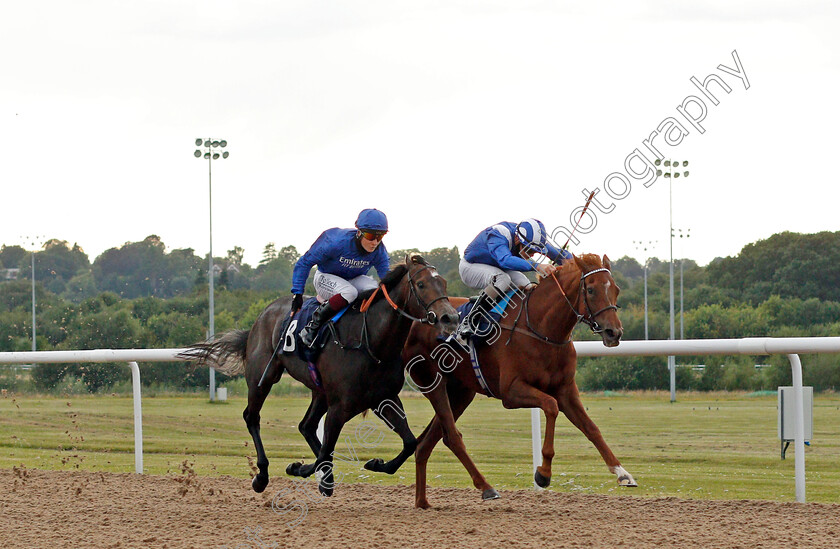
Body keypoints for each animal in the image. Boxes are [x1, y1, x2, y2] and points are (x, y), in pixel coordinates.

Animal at [179, 256, 460, 496]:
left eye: (444, 283)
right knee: (252, 417)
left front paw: (373, 464)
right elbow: (327, 450)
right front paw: (310, 473)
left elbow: (409, 442)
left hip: (319, 391)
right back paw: (262, 476)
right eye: (421, 284)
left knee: (306, 426)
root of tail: (261, 317)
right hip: (263, 377)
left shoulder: (383, 398)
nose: (450, 317)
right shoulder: (340, 406)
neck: (370, 341)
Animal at [402, 255, 636, 508]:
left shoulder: (566, 391)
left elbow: (592, 428)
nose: (614, 332)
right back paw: (485, 488)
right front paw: (543, 474)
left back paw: (422, 501)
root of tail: (417, 321)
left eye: (616, 289)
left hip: (460, 393)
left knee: (428, 443)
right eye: (591, 289)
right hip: (432, 383)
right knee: (451, 437)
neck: (542, 329)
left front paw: (622, 473)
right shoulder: (511, 392)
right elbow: (551, 407)